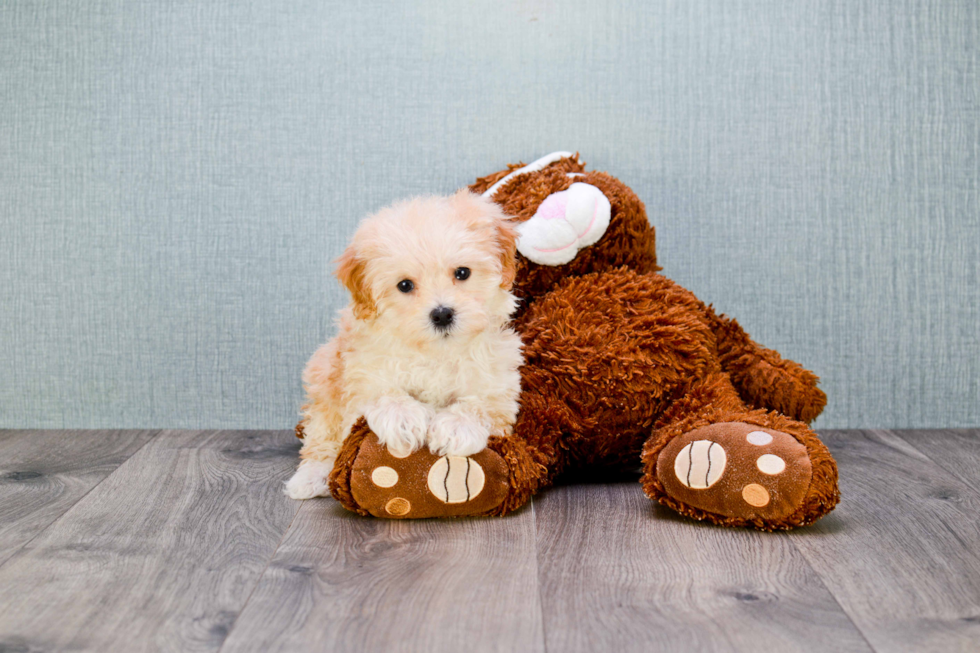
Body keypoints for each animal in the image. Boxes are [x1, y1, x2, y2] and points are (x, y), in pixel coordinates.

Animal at [288, 188, 524, 500]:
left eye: (462, 273)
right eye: (405, 285)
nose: (442, 314)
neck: (437, 353)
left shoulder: (498, 388)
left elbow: (479, 405)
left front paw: (455, 427)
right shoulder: (361, 375)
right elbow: (382, 394)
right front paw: (403, 418)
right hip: (324, 377)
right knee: (321, 436)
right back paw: (311, 476)